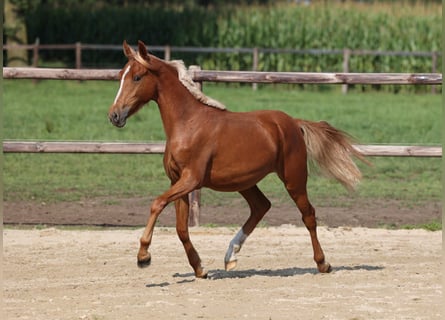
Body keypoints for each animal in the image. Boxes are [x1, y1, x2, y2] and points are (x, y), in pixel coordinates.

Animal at [109, 40, 366, 278]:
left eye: (137, 77)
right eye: (121, 76)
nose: (114, 115)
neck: (188, 123)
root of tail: (293, 122)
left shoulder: (191, 180)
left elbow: (157, 203)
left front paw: (143, 256)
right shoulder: (177, 181)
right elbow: (181, 228)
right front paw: (200, 268)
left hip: (294, 178)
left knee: (308, 215)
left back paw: (323, 263)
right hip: (244, 181)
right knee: (261, 206)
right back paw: (230, 256)